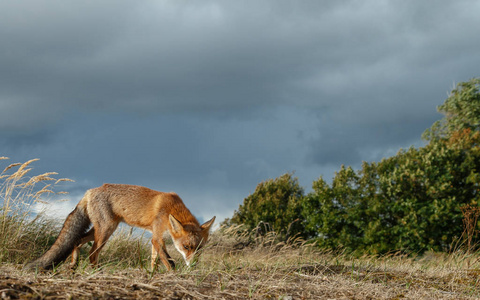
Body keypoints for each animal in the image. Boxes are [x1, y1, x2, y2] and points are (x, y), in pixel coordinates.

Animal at [24, 184, 216, 270]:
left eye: (199, 248)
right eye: (186, 247)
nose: (194, 265)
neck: (171, 208)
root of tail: (89, 191)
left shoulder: (155, 240)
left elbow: (154, 260)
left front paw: (152, 275)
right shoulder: (157, 237)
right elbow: (169, 261)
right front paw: (172, 276)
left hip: (101, 229)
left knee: (77, 240)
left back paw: (73, 264)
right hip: (106, 231)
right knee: (92, 254)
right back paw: (96, 272)